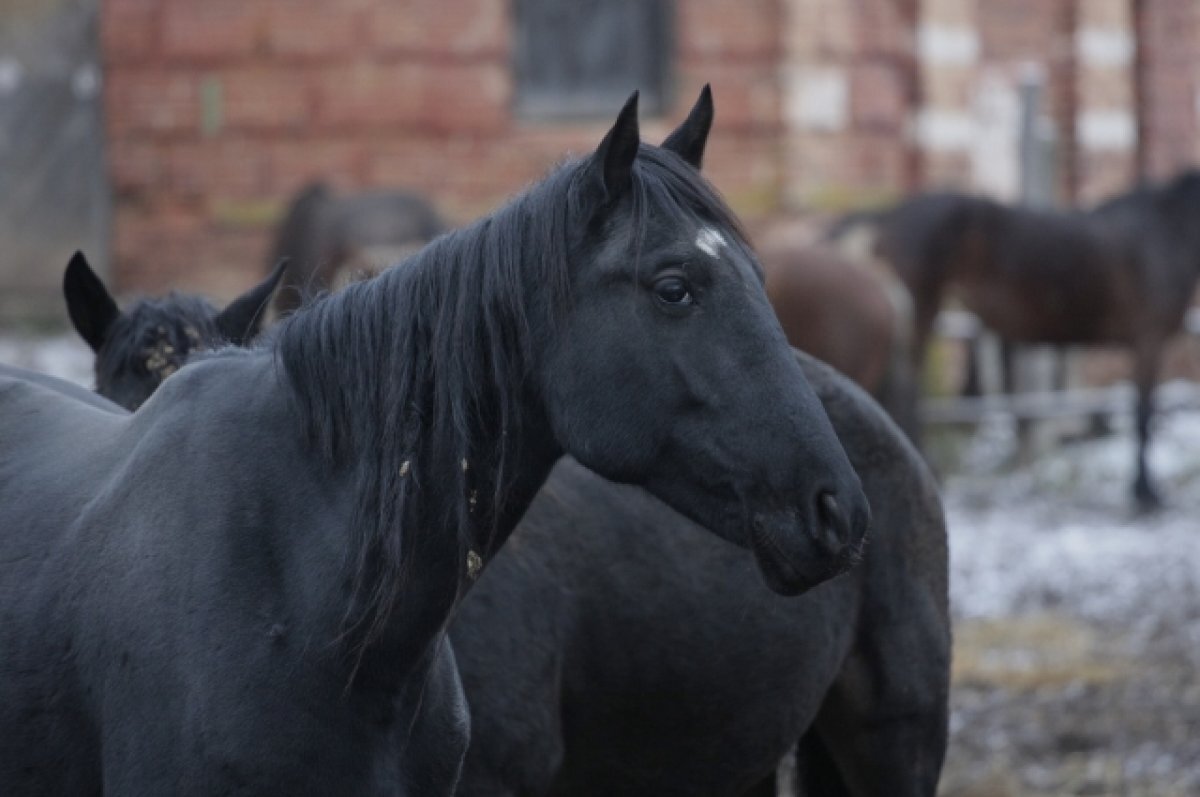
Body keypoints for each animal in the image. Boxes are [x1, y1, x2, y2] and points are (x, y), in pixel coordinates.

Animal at [835, 171, 1200, 511]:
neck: (1166, 230)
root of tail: (885, 217)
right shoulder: (1149, 340)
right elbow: (1143, 415)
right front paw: (1145, 493)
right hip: (920, 312)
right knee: (907, 393)